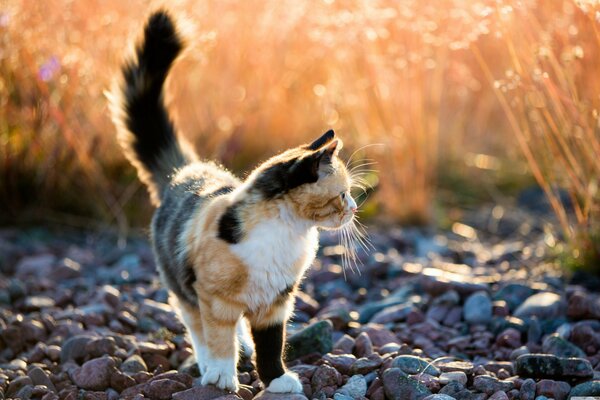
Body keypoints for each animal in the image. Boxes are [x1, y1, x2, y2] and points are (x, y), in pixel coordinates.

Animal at [110, 10, 358, 394]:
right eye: (343, 194)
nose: (354, 208)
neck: (287, 233)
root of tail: (187, 170)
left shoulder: (276, 302)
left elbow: (271, 345)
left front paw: (276, 379)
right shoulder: (214, 298)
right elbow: (218, 338)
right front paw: (222, 376)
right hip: (182, 288)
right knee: (197, 328)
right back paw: (209, 365)